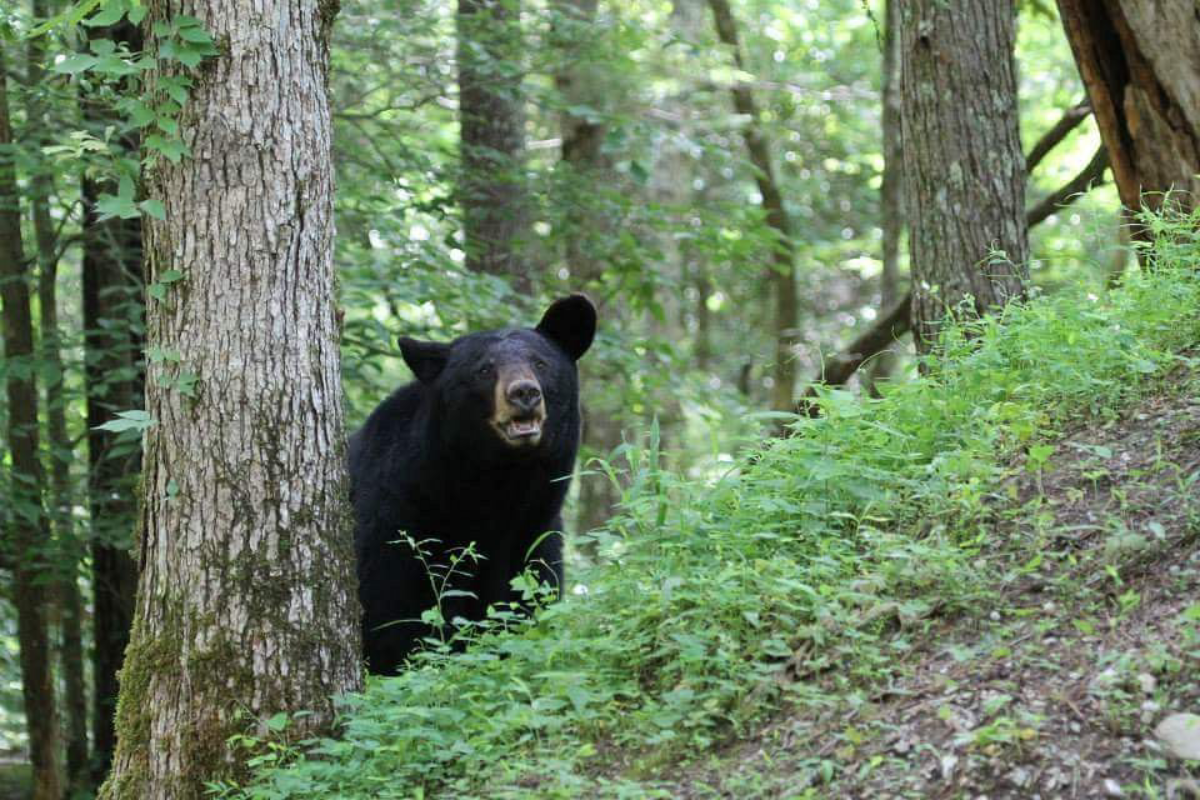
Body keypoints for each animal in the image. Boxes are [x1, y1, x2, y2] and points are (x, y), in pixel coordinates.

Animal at [348, 295, 596, 675]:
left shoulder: (534, 535)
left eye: (540, 363)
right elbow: (391, 621)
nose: (524, 392)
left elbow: (526, 605)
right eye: (484, 370)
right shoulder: (394, 524)